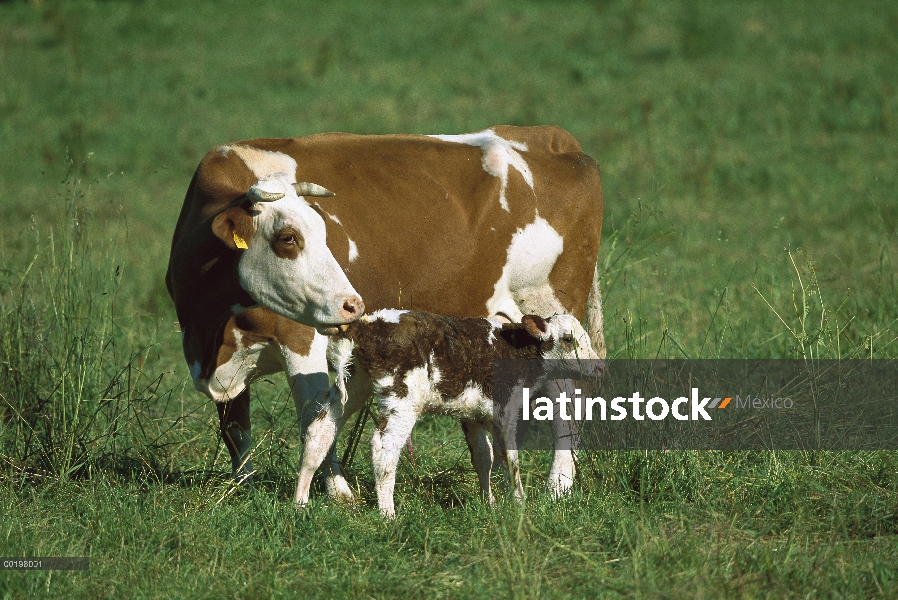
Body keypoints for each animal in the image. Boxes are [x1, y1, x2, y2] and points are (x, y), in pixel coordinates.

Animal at [296, 310, 600, 516]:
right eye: (569, 339)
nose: (598, 367)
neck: (518, 349)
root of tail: (367, 324)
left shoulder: (472, 416)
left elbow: (483, 457)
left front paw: (489, 502)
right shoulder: (505, 410)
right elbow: (509, 459)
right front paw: (519, 504)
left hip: (353, 384)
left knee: (320, 432)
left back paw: (300, 501)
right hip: (402, 399)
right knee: (384, 447)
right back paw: (387, 513)